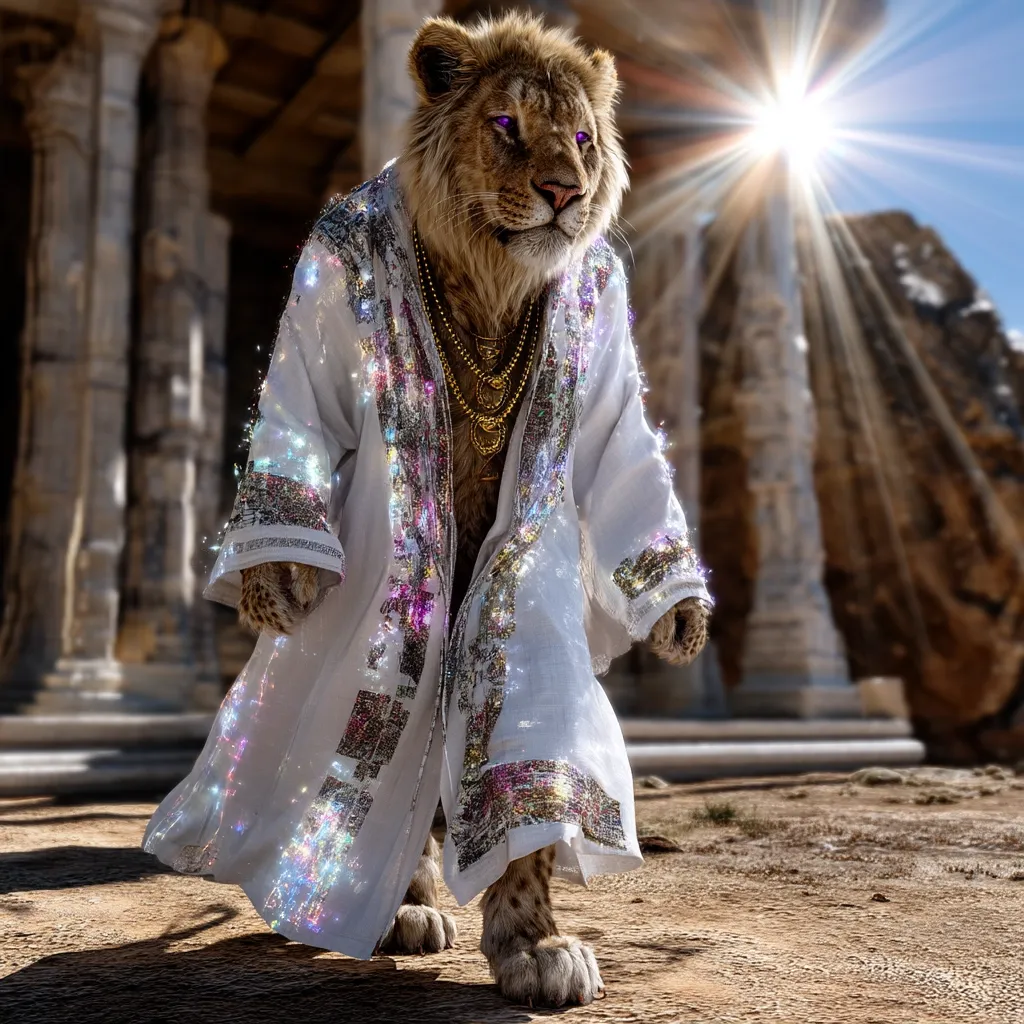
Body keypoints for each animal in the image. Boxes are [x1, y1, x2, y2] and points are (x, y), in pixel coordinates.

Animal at [235, 12, 710, 1008]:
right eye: (506, 126)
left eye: (582, 139)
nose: (565, 193)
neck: (491, 281)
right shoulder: (330, 266)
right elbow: (307, 402)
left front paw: (536, 947)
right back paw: (404, 907)